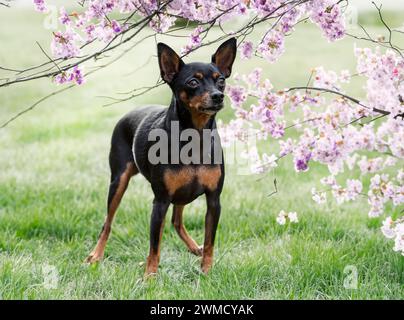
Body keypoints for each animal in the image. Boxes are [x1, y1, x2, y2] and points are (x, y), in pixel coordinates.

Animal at [85, 38, 237, 278]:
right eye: (193, 82)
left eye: (221, 80)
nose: (218, 96)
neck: (194, 136)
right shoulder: (161, 201)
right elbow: (154, 245)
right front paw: (150, 277)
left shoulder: (214, 200)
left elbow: (210, 241)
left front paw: (206, 272)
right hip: (118, 181)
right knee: (108, 222)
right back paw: (96, 255)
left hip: (181, 194)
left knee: (176, 221)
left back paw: (194, 248)